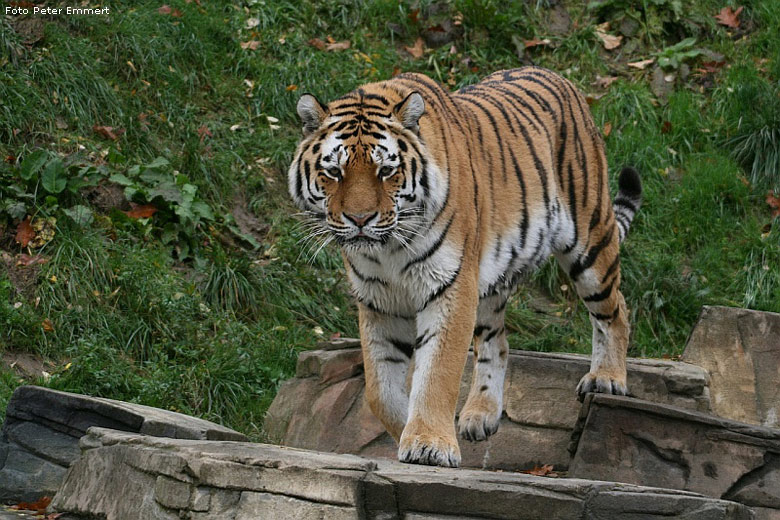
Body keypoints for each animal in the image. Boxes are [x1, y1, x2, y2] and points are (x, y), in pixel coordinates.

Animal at [290, 65, 644, 468]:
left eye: (386, 171)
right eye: (334, 172)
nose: (360, 219)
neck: (387, 250)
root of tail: (559, 77)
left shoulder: (450, 286)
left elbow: (437, 372)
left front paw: (428, 444)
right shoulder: (378, 300)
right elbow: (379, 389)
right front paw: (408, 432)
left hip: (589, 239)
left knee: (615, 310)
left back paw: (607, 378)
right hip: (490, 282)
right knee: (497, 342)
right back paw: (481, 415)